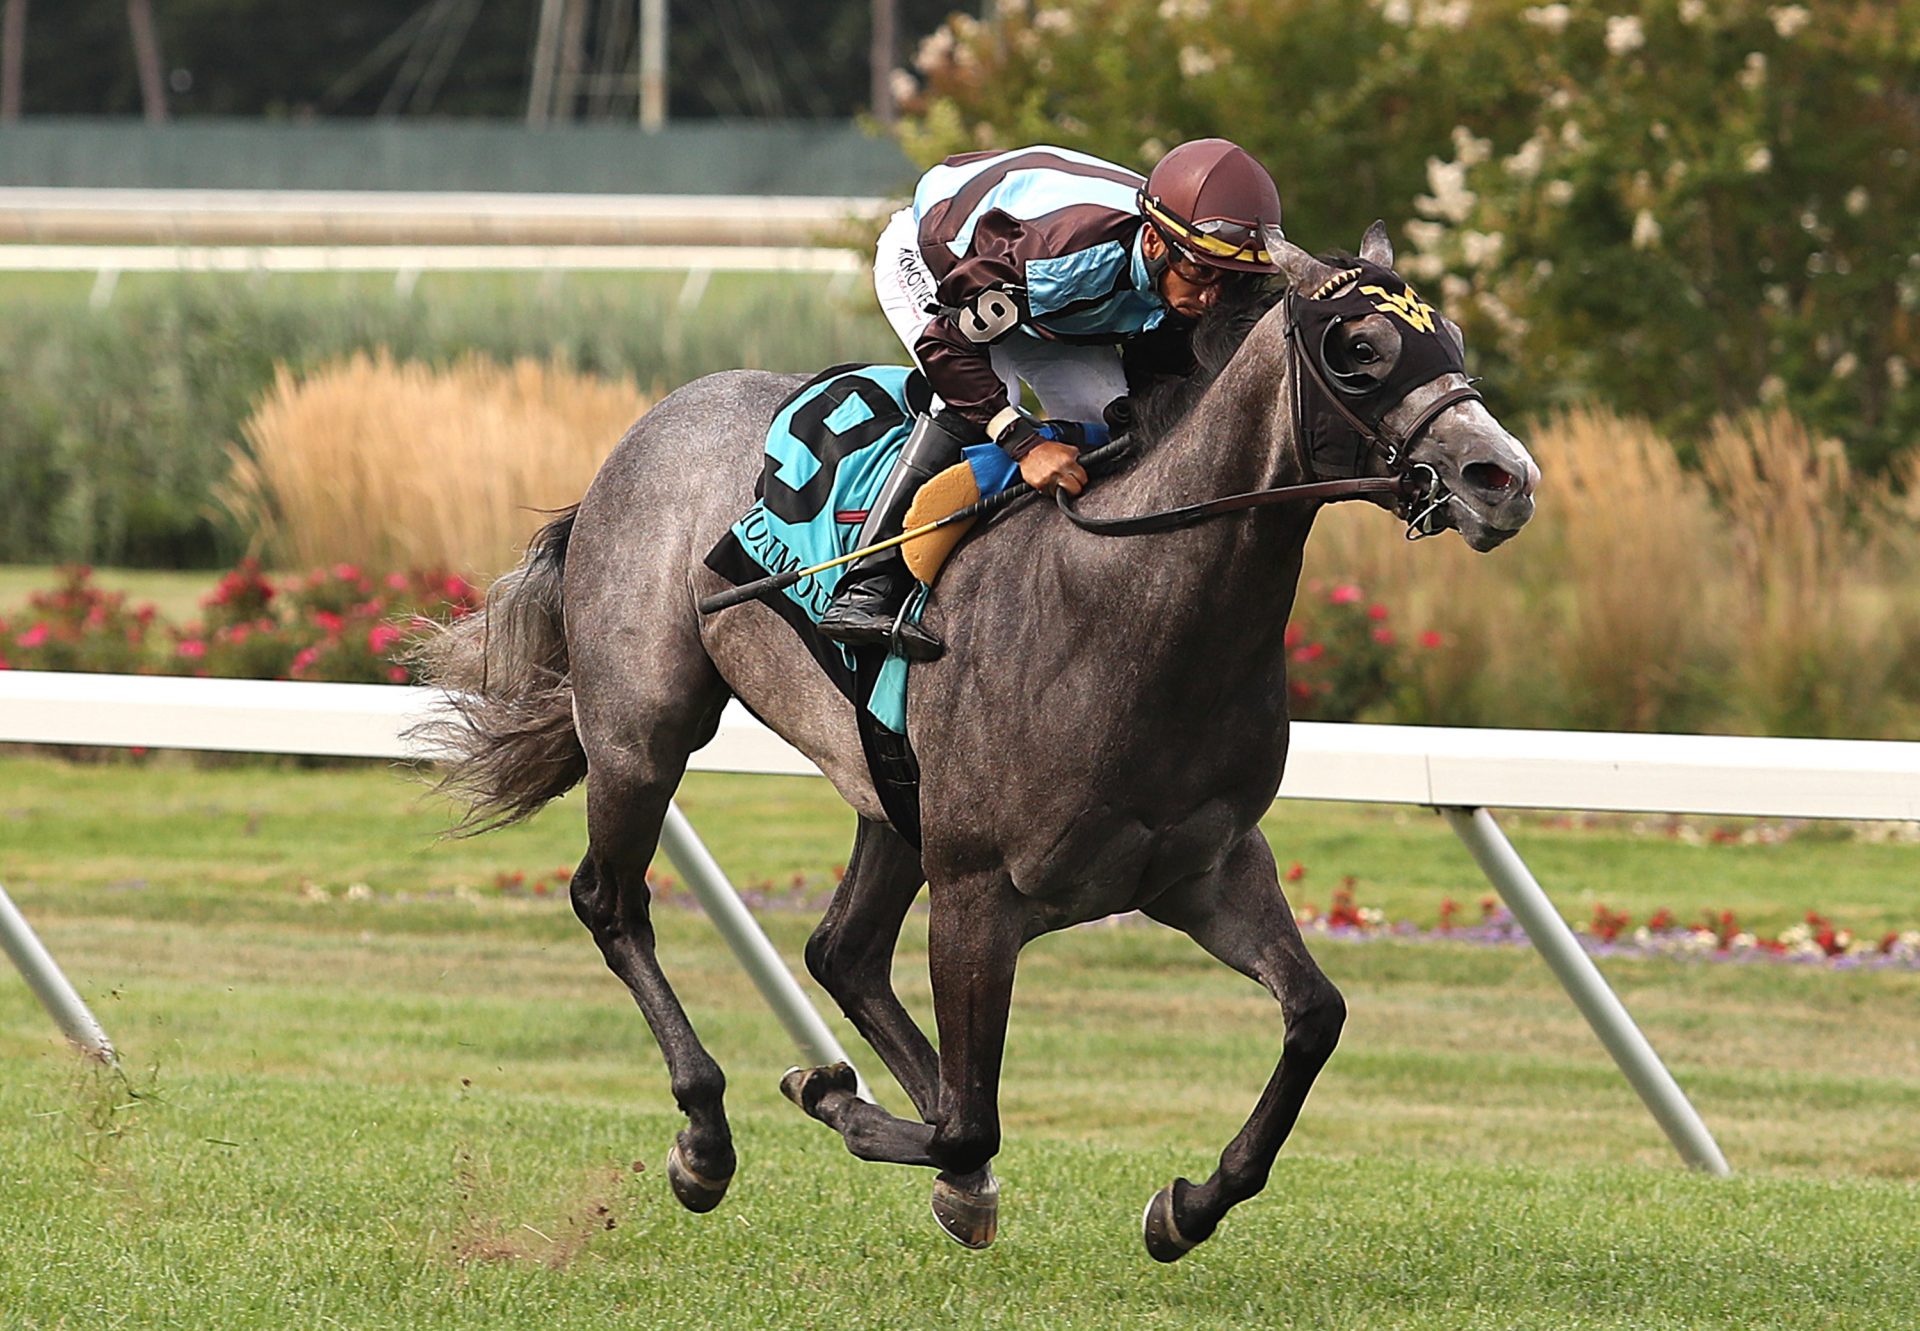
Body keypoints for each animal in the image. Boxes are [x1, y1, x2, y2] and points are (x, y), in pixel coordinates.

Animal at [416, 225, 1528, 1259]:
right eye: (1358, 347)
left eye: (1450, 336)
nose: (1503, 477)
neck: (1130, 608)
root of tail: (647, 426)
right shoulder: (981, 889)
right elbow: (966, 1118)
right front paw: (827, 1094)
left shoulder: (1202, 867)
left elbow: (1314, 1016)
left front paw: (1189, 1204)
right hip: (643, 732)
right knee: (613, 899)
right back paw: (706, 1137)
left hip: (889, 788)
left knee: (844, 950)